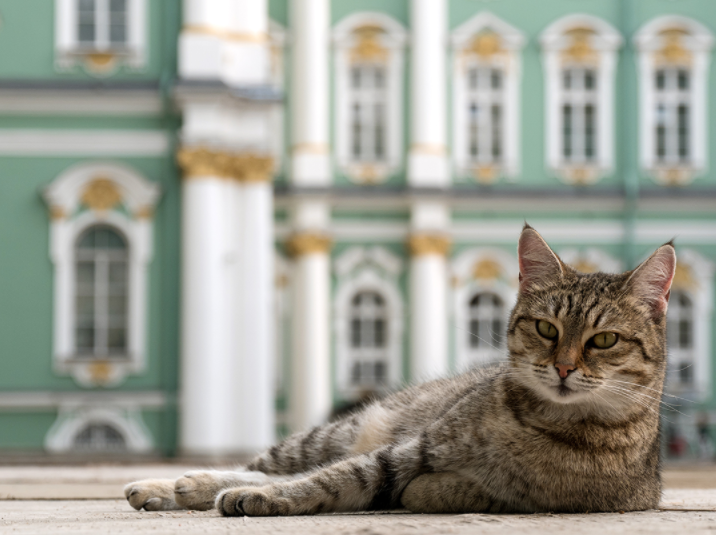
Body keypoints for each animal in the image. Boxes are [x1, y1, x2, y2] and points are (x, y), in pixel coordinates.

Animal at [124, 225, 676, 516]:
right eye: (545, 328)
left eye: (603, 339)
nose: (562, 367)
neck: (540, 423)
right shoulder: (410, 449)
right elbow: (328, 479)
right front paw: (258, 495)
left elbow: (332, 483)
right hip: (337, 432)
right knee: (271, 464)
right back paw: (173, 486)